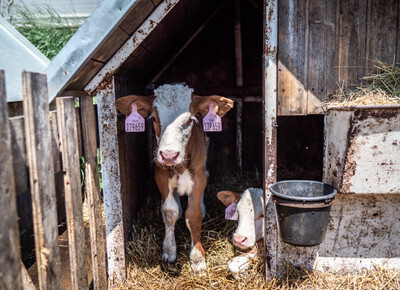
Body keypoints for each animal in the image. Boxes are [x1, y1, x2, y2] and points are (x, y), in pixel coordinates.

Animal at [115, 83, 233, 274]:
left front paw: (197, 257)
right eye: (154, 118)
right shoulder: (161, 174)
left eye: (190, 121)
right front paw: (169, 250)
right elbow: (169, 212)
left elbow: (193, 215)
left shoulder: (198, 175)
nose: (169, 155)